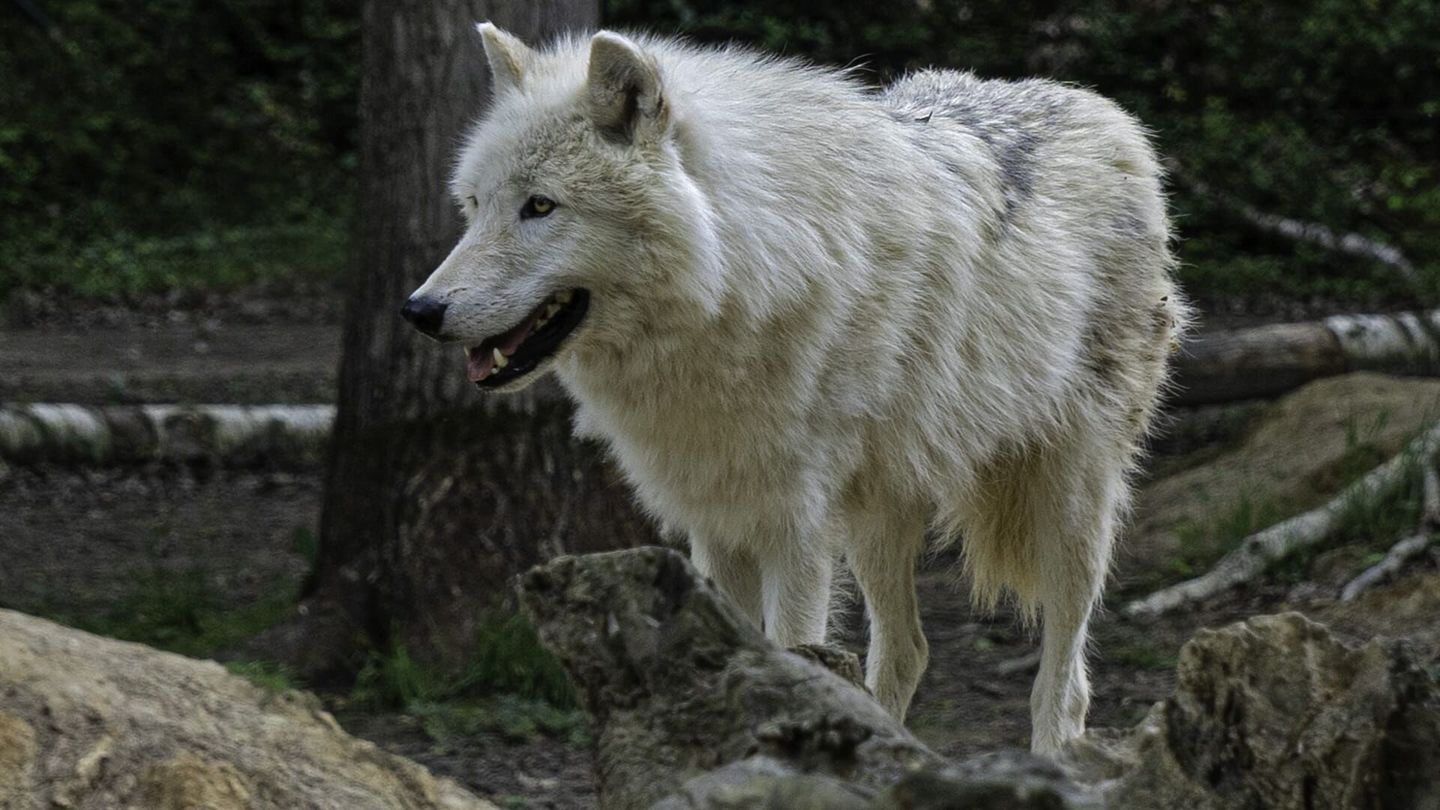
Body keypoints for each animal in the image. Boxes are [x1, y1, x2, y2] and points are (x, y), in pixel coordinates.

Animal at [402, 23, 1190, 753]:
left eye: (540, 207)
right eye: (474, 205)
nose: (420, 311)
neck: (739, 282)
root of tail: (1099, 108)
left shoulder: (795, 530)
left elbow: (790, 657)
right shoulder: (717, 525)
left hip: (1071, 504)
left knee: (1065, 683)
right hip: (881, 516)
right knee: (907, 652)